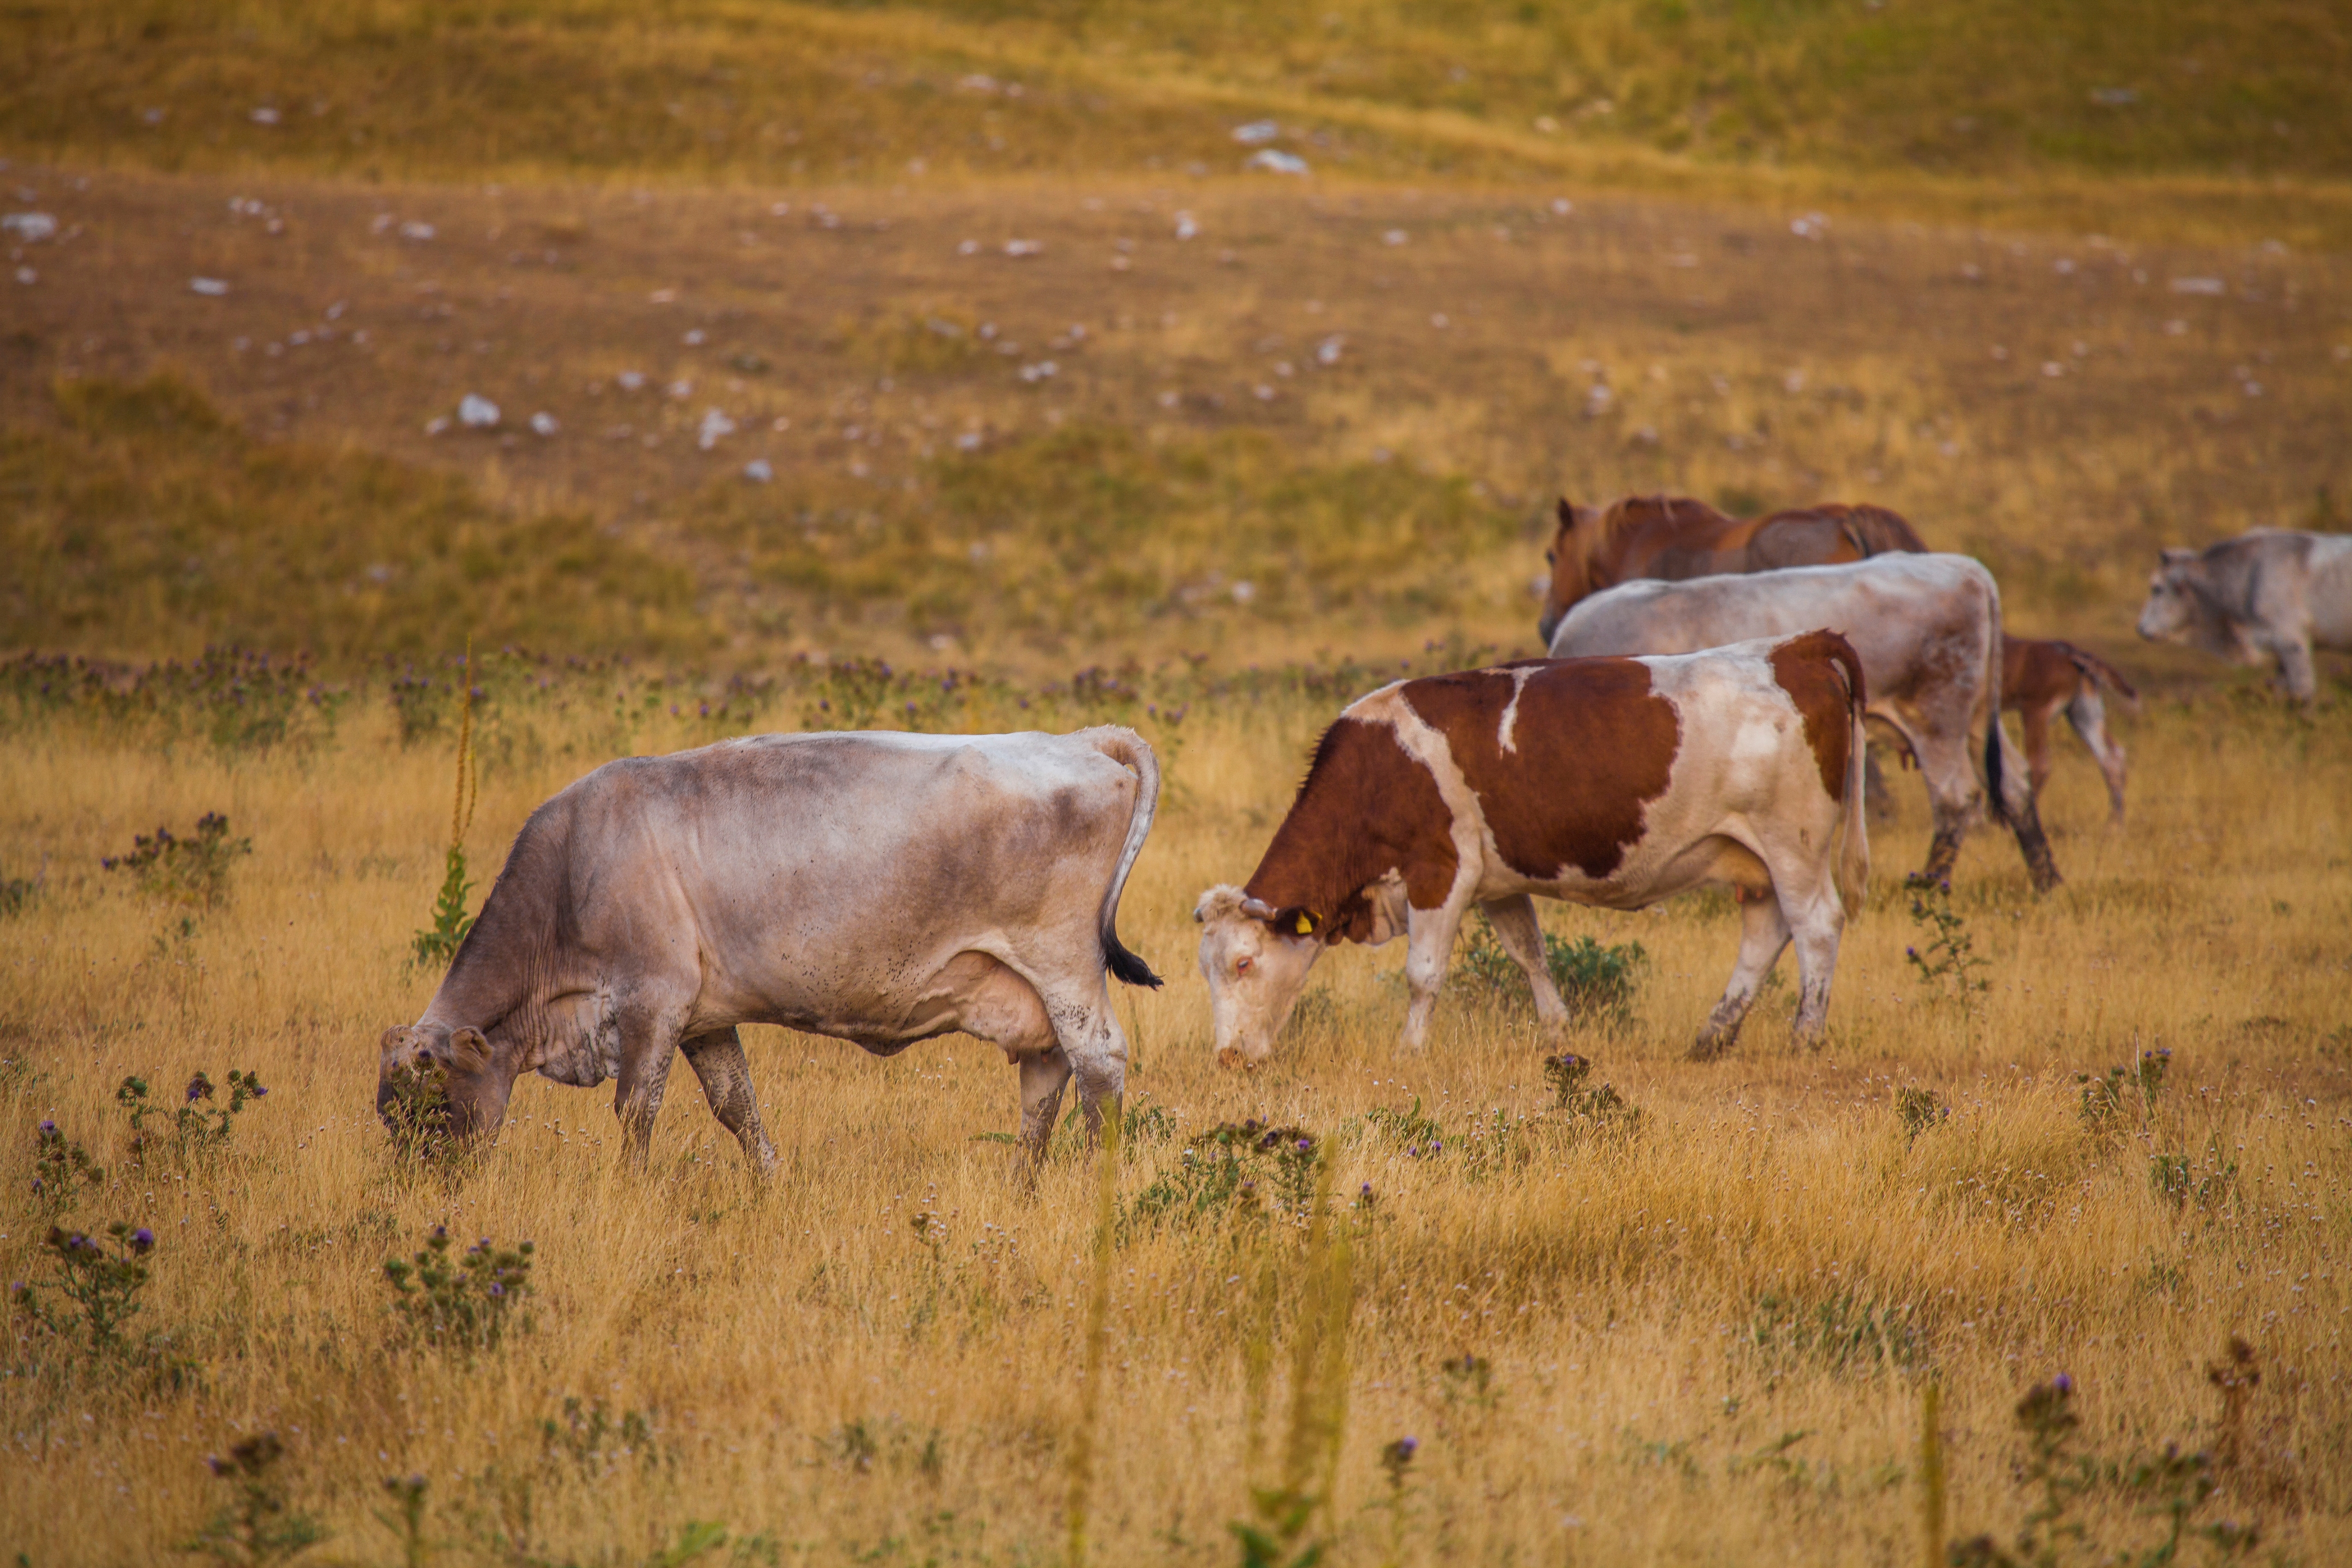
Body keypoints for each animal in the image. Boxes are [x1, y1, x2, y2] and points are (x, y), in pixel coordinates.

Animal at [376, 727, 1162, 1170]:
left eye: (430, 1108)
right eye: (389, 1118)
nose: (418, 1190)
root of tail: (1081, 739)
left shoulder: (651, 1001)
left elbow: (636, 1111)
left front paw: (626, 1189)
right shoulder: (704, 1018)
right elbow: (737, 1107)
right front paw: (769, 1179)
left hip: (1063, 966)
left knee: (1098, 1064)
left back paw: (1092, 1181)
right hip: (1029, 990)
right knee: (1046, 1075)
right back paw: (1021, 1185)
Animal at [1195, 631, 1868, 1067]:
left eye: (1244, 963)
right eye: (1207, 969)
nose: (1227, 1058)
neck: (1380, 768)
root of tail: (1795, 648)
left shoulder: (1440, 872)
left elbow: (1423, 974)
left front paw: (1410, 1051)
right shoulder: (1499, 882)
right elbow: (1531, 955)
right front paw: (1558, 1034)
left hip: (1794, 845)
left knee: (1816, 926)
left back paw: (1806, 1036)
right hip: (1754, 859)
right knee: (1765, 930)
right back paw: (1712, 1037)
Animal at [1547, 554, 2061, 892]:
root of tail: (1966, 569)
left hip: (1938, 718)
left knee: (1957, 797)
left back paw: (1929, 885)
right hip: (1976, 720)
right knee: (2015, 782)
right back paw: (2047, 880)